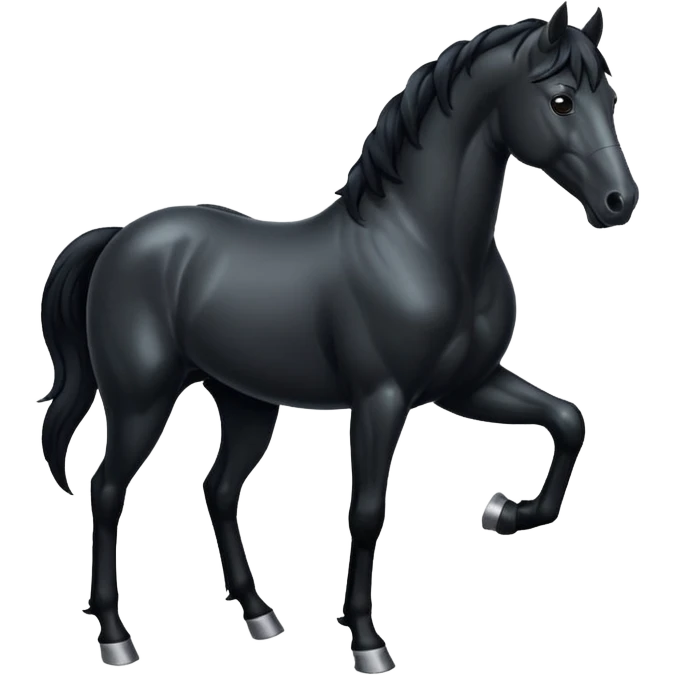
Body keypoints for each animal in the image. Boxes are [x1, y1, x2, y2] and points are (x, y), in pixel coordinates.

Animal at [37, 3, 638, 672]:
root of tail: (118, 239)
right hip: (140, 401)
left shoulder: (467, 386)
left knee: (218, 488)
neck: (419, 243)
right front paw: (368, 640)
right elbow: (368, 511)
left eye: (610, 97)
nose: (620, 201)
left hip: (246, 403)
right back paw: (116, 636)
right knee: (107, 489)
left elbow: (567, 420)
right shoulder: (382, 398)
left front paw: (506, 511)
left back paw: (260, 614)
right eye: (561, 101)